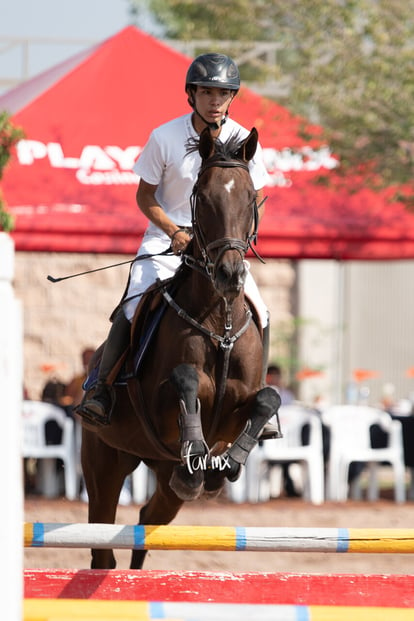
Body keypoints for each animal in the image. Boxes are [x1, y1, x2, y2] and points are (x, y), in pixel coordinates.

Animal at [80, 128, 282, 568]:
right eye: (202, 198)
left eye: (250, 197)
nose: (229, 275)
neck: (219, 322)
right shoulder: (160, 405)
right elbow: (186, 378)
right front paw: (197, 461)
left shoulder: (237, 410)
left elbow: (268, 399)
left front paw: (225, 467)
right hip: (105, 462)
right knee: (103, 545)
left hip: (160, 476)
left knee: (148, 518)